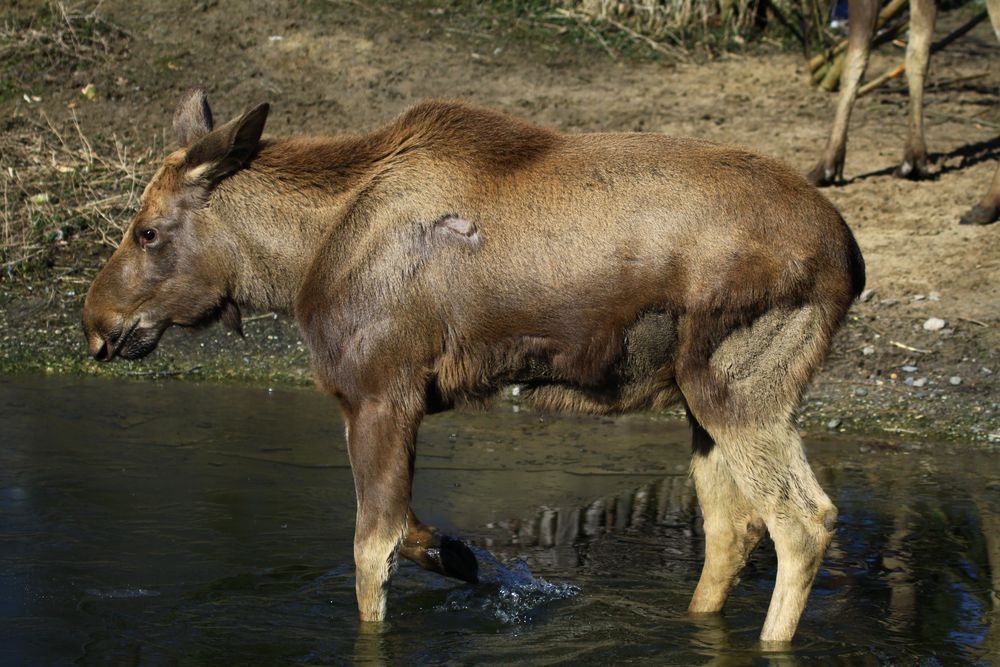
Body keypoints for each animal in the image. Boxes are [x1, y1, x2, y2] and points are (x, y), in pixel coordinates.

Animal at [82, 88, 864, 640]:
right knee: (732, 528)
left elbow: (371, 549)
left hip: (742, 382)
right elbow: (408, 529)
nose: (96, 325)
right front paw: (460, 556)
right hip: (700, 399)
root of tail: (850, 260)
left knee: (803, 520)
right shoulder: (397, 400)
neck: (296, 265)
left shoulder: (380, 389)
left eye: (147, 231)